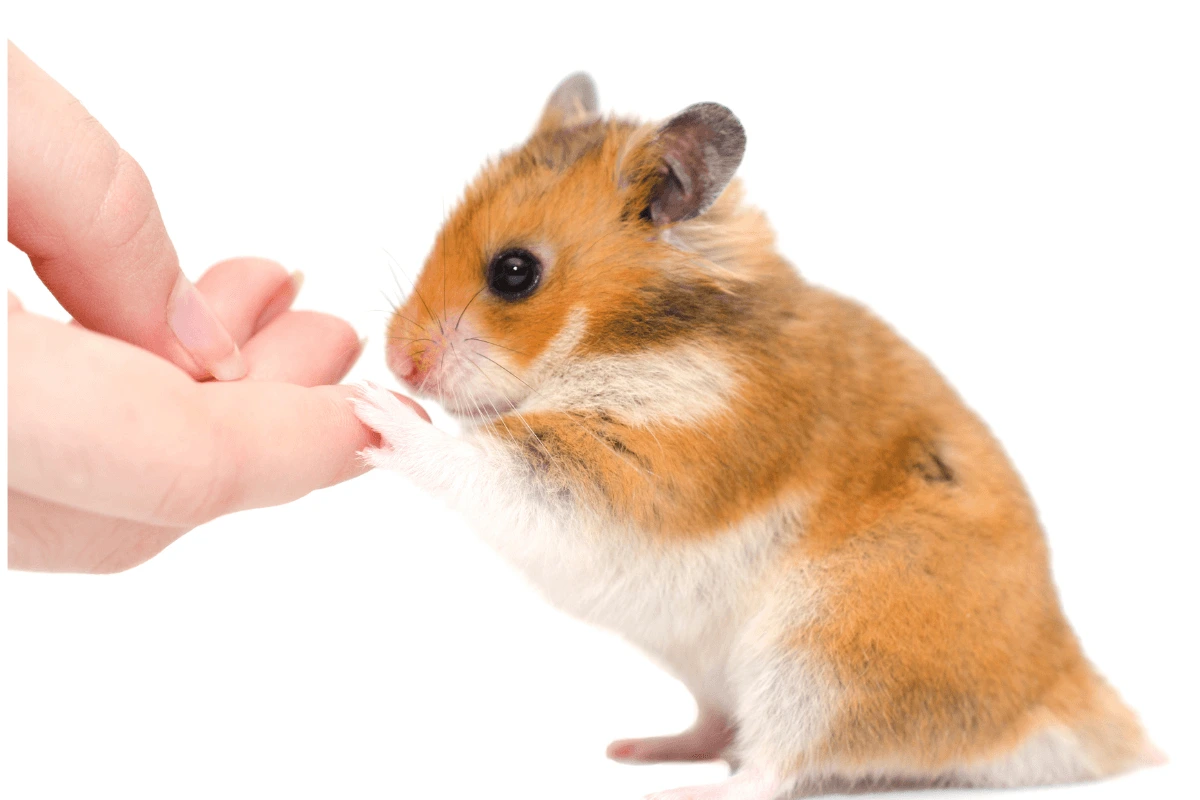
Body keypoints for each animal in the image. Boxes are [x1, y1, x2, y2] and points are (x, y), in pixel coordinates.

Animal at [350, 71, 1156, 796]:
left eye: (514, 272)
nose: (396, 363)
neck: (634, 338)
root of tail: (1069, 704)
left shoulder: (637, 464)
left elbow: (488, 460)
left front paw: (375, 408)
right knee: (722, 727)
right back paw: (639, 750)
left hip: (825, 650)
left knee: (777, 766)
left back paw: (685, 789)